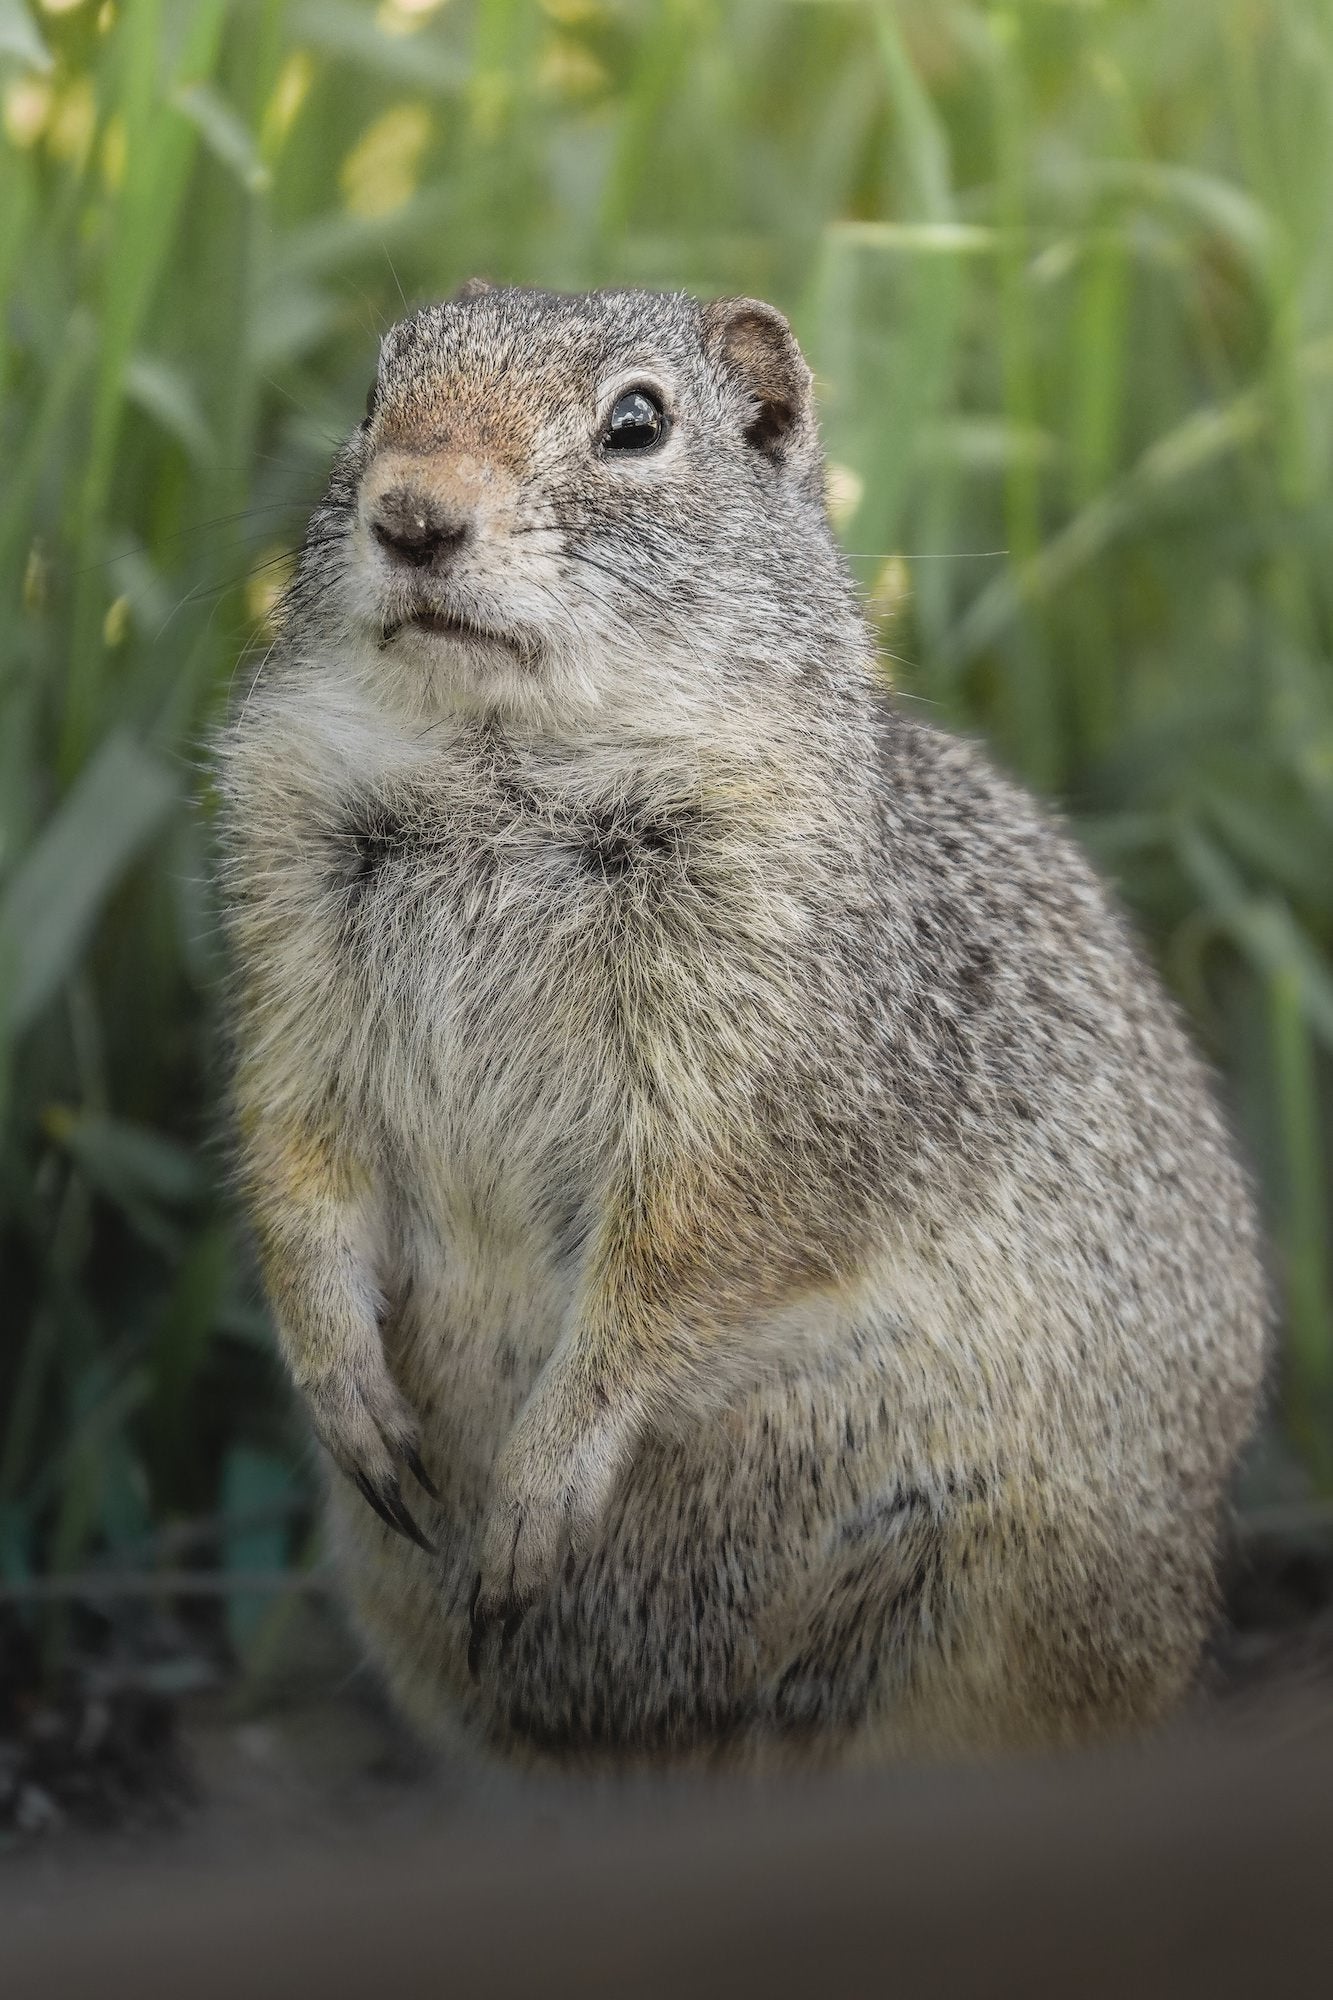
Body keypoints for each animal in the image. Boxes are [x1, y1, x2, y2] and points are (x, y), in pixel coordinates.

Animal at [217, 283, 1269, 1766]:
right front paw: (347, 1394)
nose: (412, 514)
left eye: (636, 422)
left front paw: (538, 1487)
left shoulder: (764, 1060)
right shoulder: (292, 947)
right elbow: (293, 1158)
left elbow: (683, 1252)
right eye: (374, 394)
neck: (496, 769)